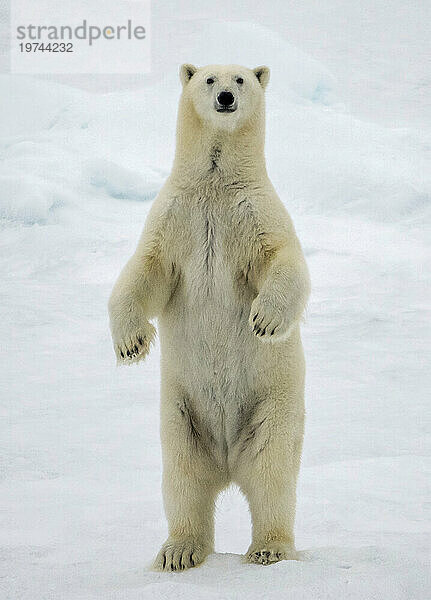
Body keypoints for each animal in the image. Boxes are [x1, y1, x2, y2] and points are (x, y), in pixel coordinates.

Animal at [109, 64, 310, 572]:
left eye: (240, 80)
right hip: (181, 416)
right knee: (183, 481)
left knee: (273, 476)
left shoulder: (258, 213)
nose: (224, 98)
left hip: (272, 409)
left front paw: (264, 321)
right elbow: (146, 270)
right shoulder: (174, 216)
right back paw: (179, 550)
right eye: (208, 79)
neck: (216, 185)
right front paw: (131, 344)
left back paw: (268, 548)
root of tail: (228, 462)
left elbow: (284, 261)